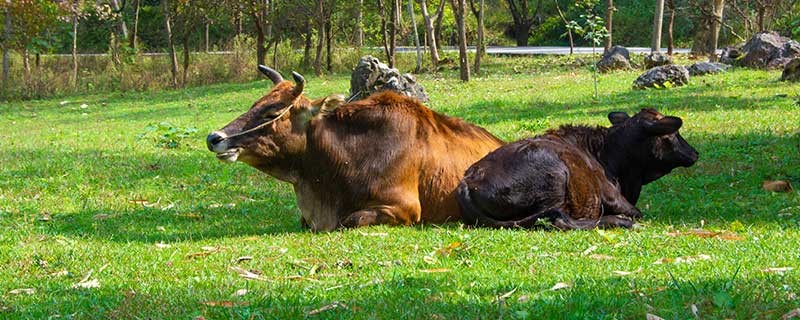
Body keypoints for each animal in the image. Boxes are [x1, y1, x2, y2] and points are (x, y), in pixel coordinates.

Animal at [456, 109, 700, 229]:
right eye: (673, 134)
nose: (694, 153)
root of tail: (468, 179)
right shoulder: (612, 196)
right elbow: (637, 212)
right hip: (556, 177)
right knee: (559, 220)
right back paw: (618, 221)